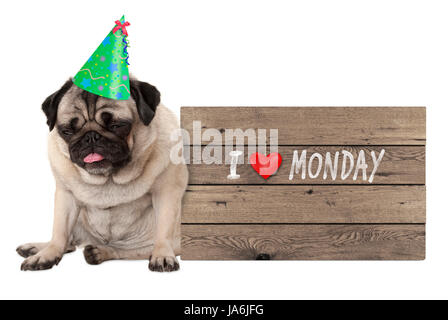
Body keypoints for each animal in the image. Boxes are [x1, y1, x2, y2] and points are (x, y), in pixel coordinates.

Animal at [16, 79, 188, 272]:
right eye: (67, 131)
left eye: (117, 126)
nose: (91, 136)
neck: (108, 177)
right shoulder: (65, 196)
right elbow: (59, 231)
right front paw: (48, 254)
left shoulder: (167, 192)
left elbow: (164, 230)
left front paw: (162, 255)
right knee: (68, 241)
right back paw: (37, 248)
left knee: (126, 250)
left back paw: (99, 252)